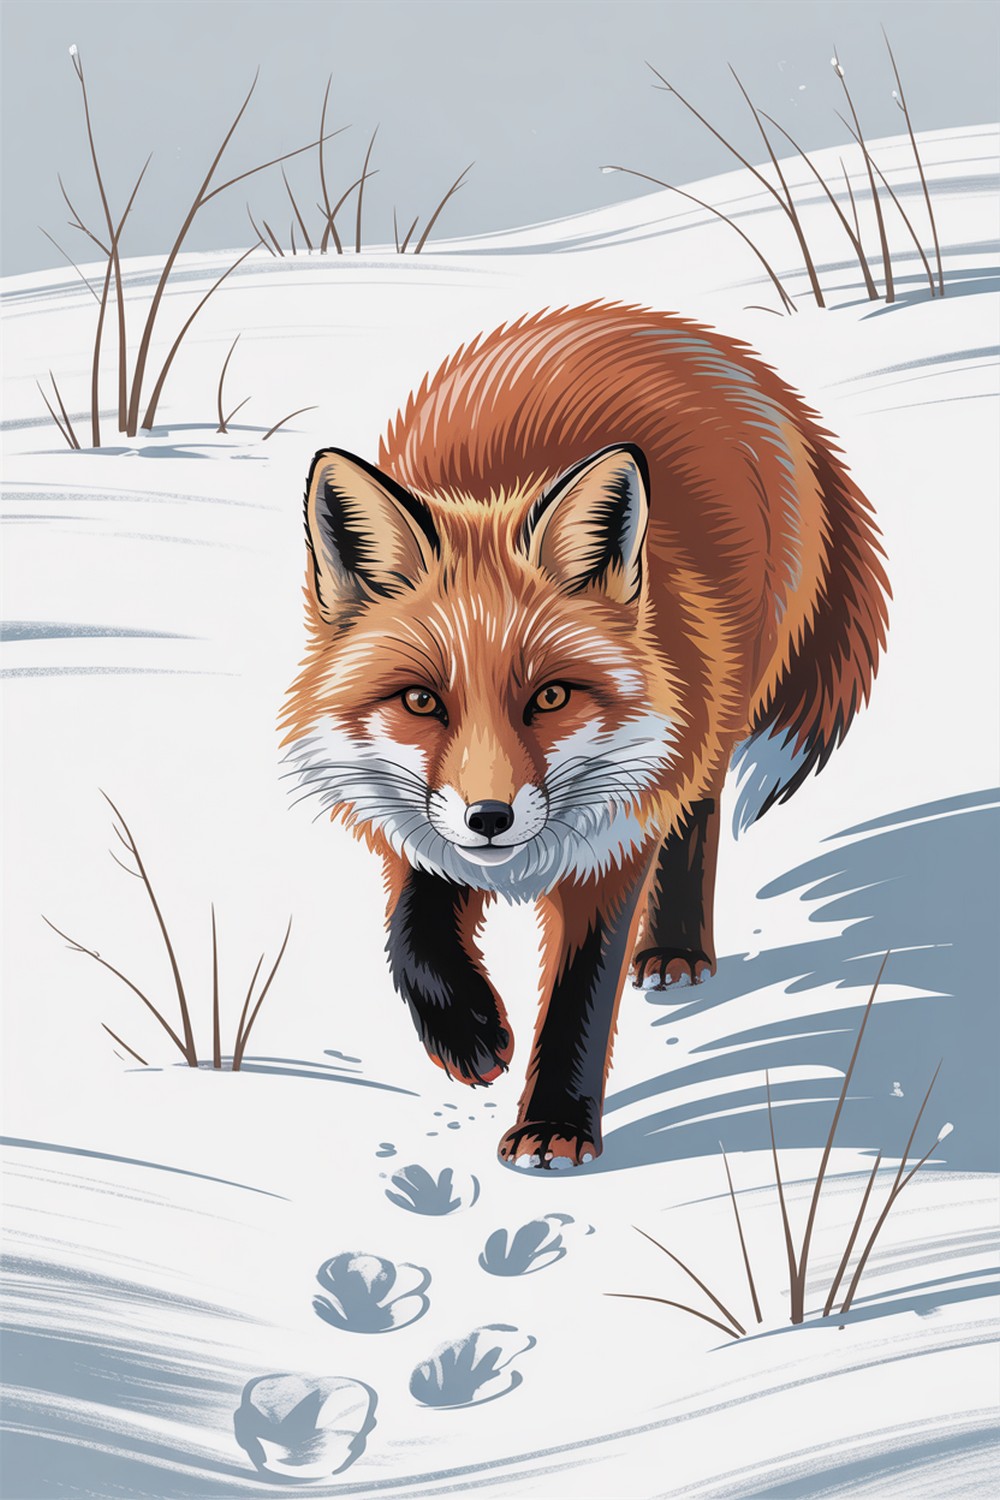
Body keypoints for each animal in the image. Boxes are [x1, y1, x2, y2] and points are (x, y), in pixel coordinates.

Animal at [281, 301, 889, 1171]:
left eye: (551, 696)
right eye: (422, 700)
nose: (490, 819)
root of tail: (679, 330)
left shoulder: (617, 837)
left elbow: (581, 993)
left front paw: (556, 1125)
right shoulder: (414, 826)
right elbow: (411, 934)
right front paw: (468, 1032)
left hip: (714, 717)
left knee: (699, 812)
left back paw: (676, 949)